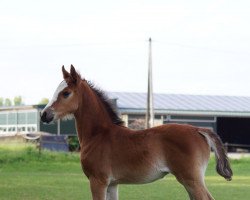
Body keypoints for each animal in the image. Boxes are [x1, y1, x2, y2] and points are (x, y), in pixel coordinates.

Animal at [41, 65, 232, 198]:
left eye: (66, 93)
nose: (44, 115)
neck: (98, 135)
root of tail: (199, 129)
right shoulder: (112, 184)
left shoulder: (98, 181)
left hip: (191, 179)